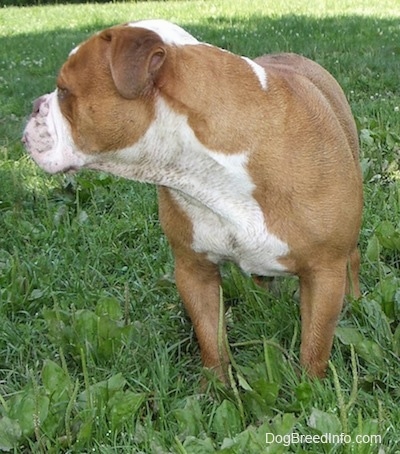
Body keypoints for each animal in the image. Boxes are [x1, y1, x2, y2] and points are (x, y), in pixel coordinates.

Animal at [23, 18, 364, 380]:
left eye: (63, 91)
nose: (34, 105)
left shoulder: (324, 271)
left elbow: (315, 345)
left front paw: (308, 386)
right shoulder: (193, 269)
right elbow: (210, 338)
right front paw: (216, 386)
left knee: (353, 259)